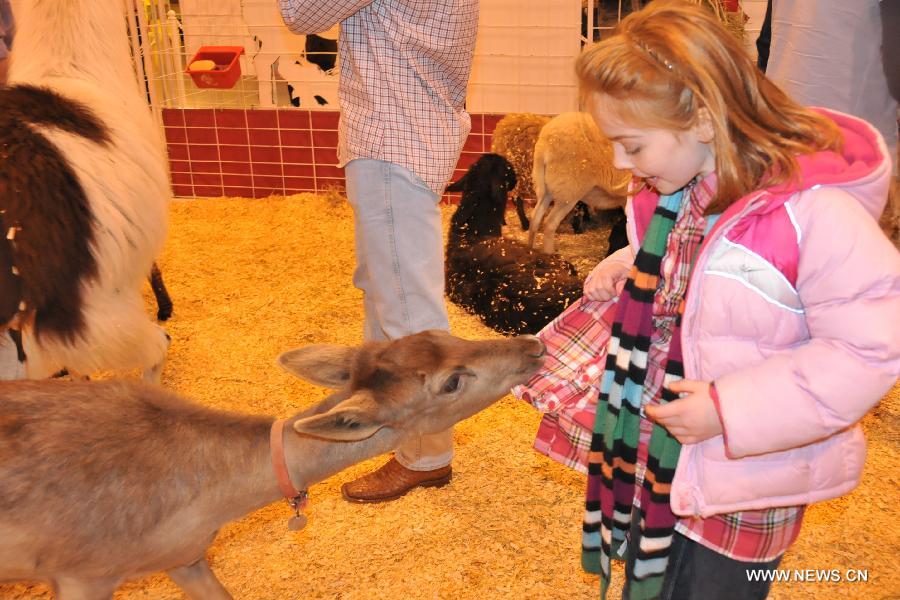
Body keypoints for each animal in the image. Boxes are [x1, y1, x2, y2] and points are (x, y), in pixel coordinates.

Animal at [528, 112, 632, 253]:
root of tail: (544, 140)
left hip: (549, 188)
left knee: (535, 217)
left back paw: (530, 249)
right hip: (568, 190)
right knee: (550, 223)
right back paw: (549, 254)